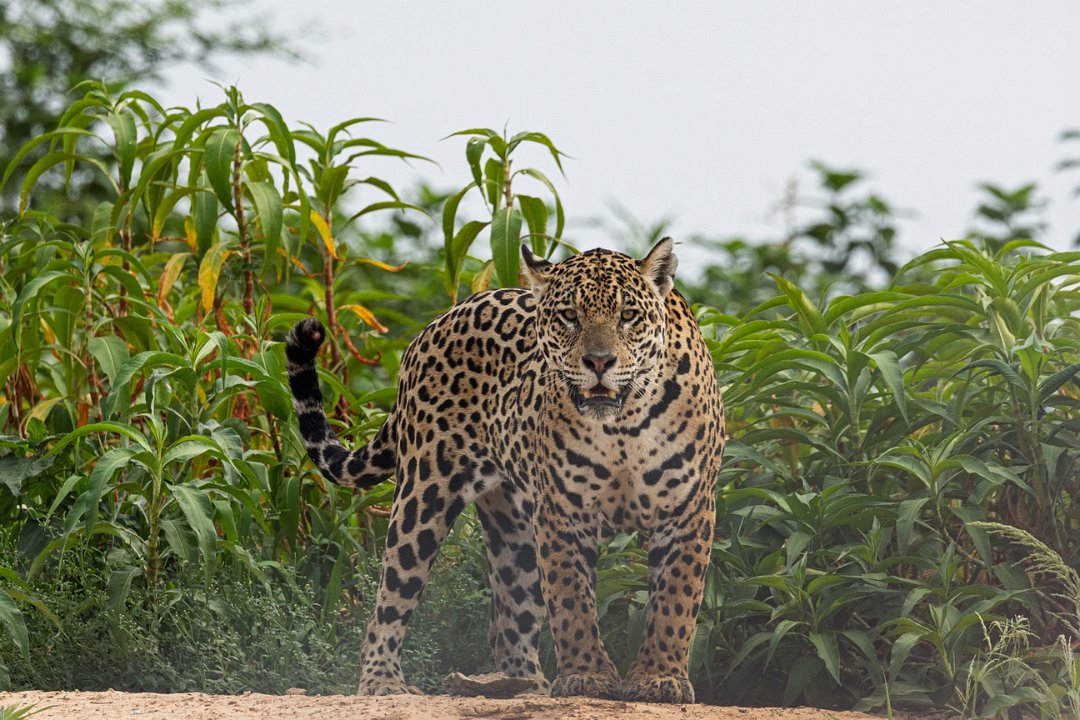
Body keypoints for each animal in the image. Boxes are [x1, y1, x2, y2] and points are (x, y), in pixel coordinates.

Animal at [285, 238, 725, 703]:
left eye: (628, 316)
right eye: (570, 316)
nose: (599, 362)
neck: (624, 424)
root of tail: (432, 326)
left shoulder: (688, 509)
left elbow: (675, 601)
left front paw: (660, 679)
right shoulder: (562, 513)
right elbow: (571, 603)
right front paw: (586, 676)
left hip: (514, 531)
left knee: (507, 624)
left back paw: (527, 688)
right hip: (423, 496)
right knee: (389, 601)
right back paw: (382, 682)